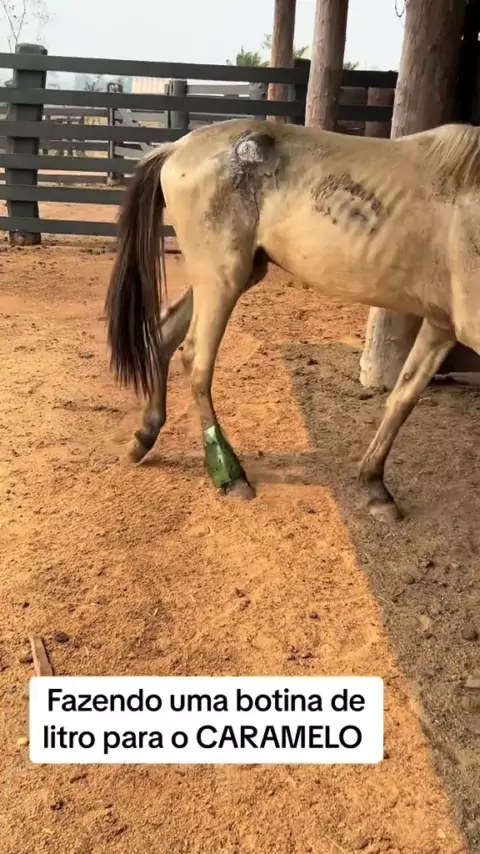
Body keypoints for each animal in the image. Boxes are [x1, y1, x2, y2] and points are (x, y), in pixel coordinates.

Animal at [104, 117, 480, 524]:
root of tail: (176, 147)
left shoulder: (442, 324)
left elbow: (403, 398)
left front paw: (375, 487)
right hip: (222, 277)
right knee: (196, 361)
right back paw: (230, 475)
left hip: (237, 273)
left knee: (164, 336)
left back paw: (144, 437)